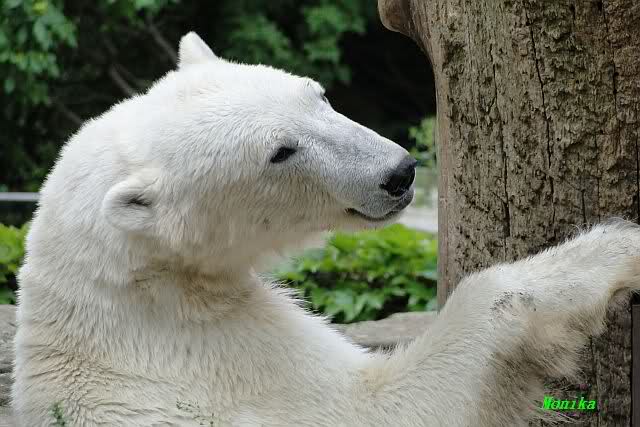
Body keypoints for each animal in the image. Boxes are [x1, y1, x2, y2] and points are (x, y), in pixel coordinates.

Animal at [11, 32, 640, 426]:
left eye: (319, 96)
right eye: (280, 152)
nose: (399, 173)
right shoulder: (223, 362)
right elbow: (387, 405)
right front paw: (614, 247)